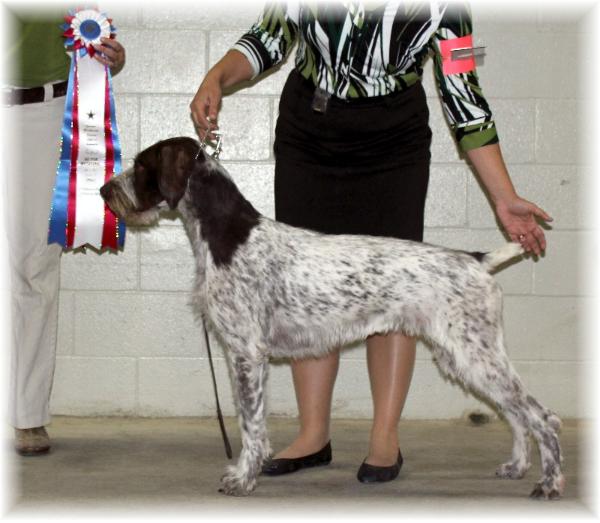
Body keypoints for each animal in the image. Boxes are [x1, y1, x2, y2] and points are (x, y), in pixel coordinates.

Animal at [101, 138, 564, 500]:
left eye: (141, 164)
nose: (105, 189)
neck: (227, 236)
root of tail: (478, 260)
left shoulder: (246, 354)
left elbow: (249, 424)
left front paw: (242, 479)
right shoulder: (248, 356)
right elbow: (253, 424)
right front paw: (250, 470)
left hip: (474, 355)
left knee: (542, 417)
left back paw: (549, 484)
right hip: (469, 358)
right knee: (516, 415)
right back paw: (516, 467)